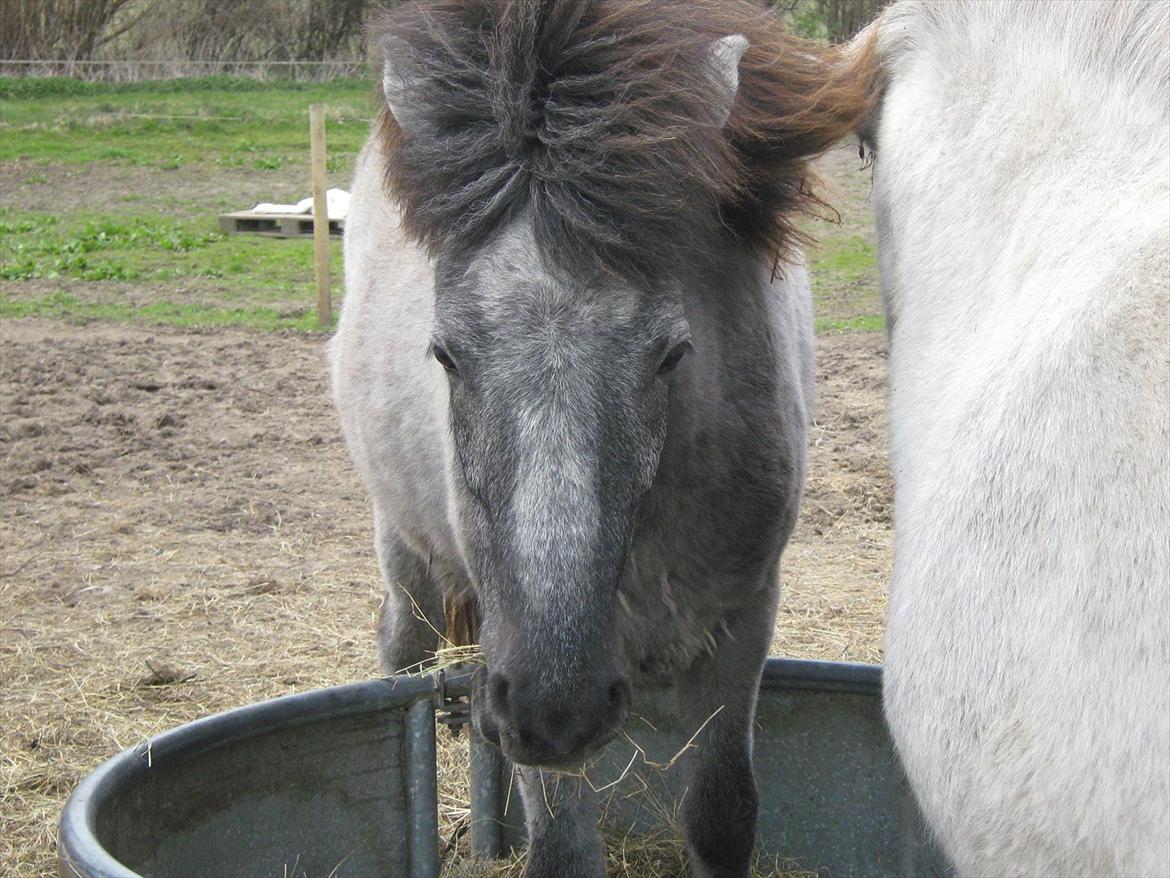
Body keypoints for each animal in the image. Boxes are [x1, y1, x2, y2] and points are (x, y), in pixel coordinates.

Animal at [329, 3, 870, 875]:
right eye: (445, 353)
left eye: (672, 353)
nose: (558, 708)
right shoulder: (516, 654)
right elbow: (561, 846)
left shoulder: (742, 621)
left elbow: (723, 812)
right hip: (408, 555)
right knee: (401, 651)